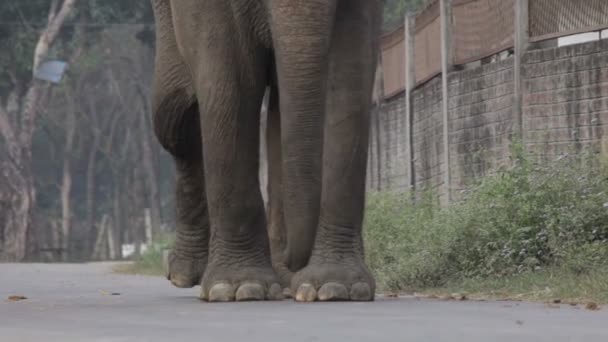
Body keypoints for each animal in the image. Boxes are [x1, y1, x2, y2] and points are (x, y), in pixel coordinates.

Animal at [150, 0, 382, 300]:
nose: (294, 262)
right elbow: (231, 72)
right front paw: (239, 288)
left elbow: (352, 65)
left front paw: (338, 287)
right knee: (177, 111)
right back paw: (186, 274)